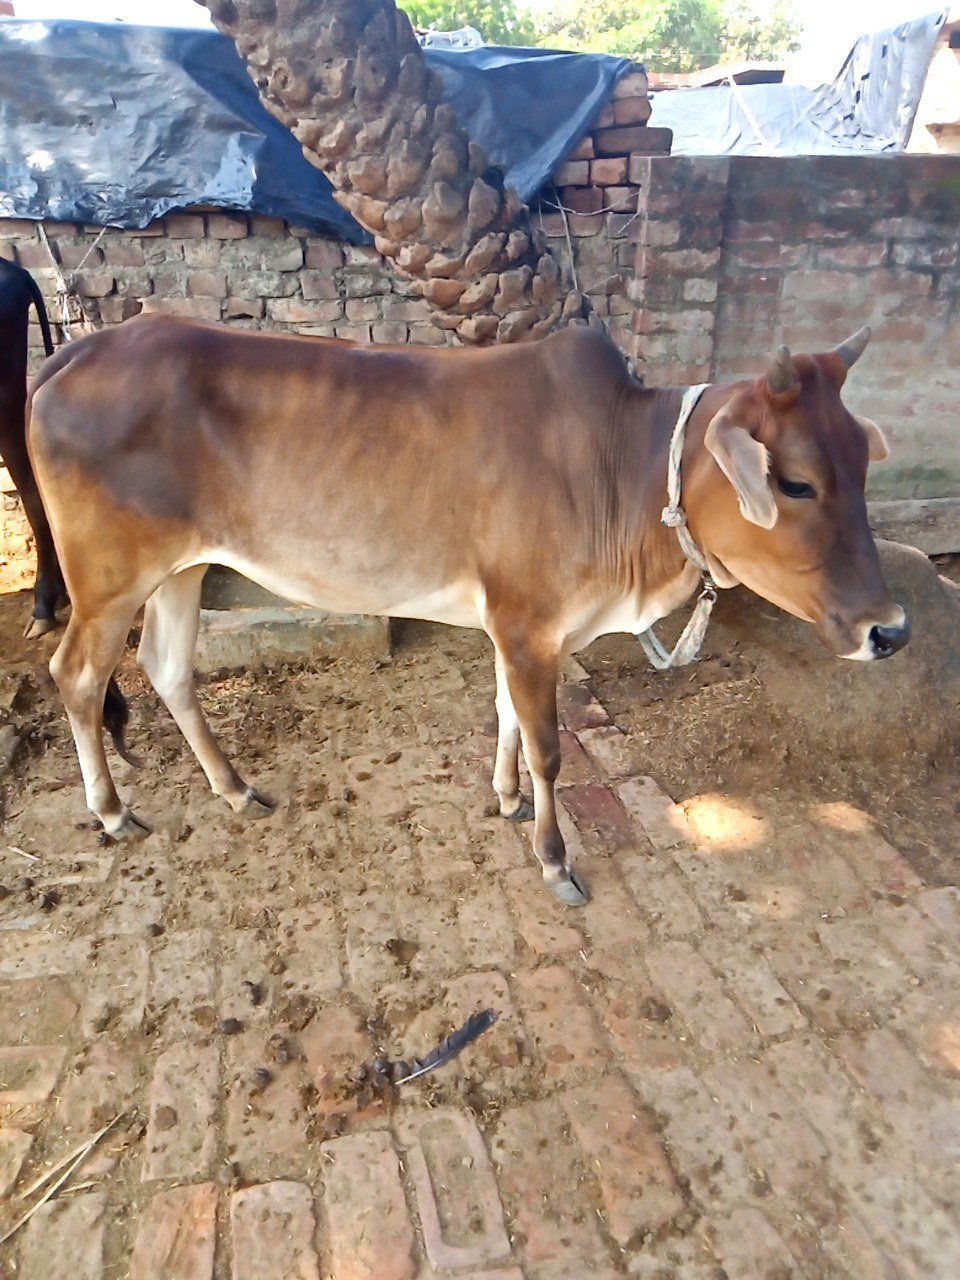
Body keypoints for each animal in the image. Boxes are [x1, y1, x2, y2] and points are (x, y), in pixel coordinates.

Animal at [27, 316, 907, 905]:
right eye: (795, 481)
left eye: (861, 466)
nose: (890, 629)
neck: (622, 468)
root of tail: (81, 349)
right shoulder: (527, 623)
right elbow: (550, 748)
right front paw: (554, 858)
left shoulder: (516, 627)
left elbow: (507, 714)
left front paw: (506, 797)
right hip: (109, 579)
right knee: (76, 675)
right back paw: (112, 813)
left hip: (183, 568)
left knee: (167, 668)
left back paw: (236, 788)